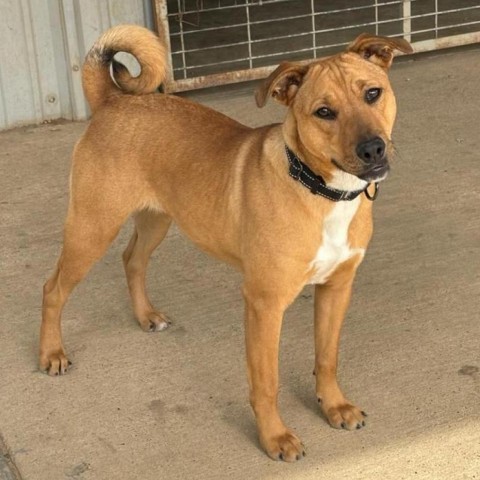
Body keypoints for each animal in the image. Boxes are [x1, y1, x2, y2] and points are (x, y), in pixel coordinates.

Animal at [39, 25, 410, 462]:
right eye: (324, 112)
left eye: (373, 93)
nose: (373, 148)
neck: (319, 190)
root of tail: (113, 101)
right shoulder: (264, 304)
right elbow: (266, 382)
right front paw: (274, 437)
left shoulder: (337, 288)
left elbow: (327, 357)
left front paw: (334, 406)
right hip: (92, 228)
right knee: (53, 288)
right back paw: (51, 353)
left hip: (158, 218)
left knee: (132, 259)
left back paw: (145, 315)